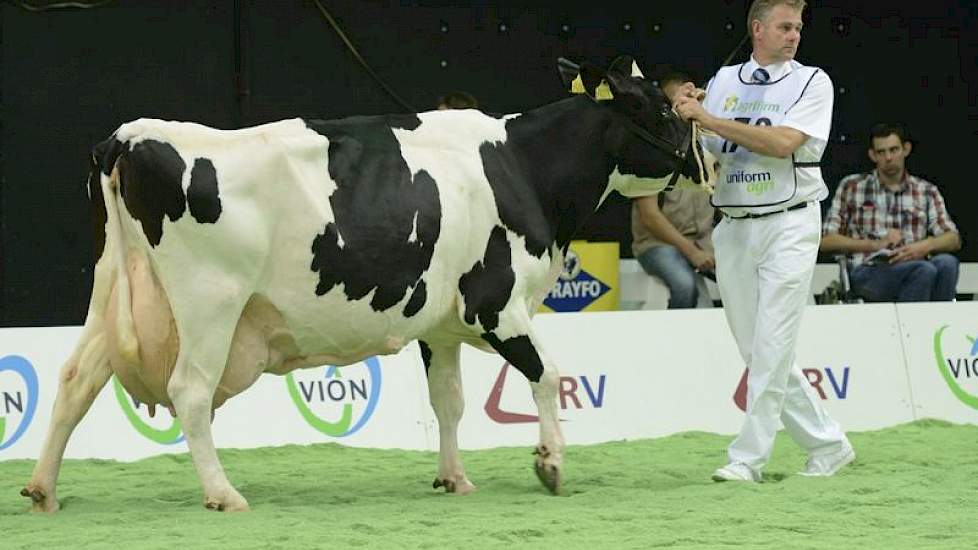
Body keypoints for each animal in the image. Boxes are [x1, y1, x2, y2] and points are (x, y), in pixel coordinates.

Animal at [21, 56, 700, 512]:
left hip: (114, 288)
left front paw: (454, 478)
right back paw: (223, 493)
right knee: (189, 390)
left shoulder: (442, 325)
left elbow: (448, 401)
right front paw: (552, 464)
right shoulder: (496, 306)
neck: (523, 169)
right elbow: (549, 374)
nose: (701, 163)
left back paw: (42, 489)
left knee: (76, 379)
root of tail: (130, 135)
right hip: (210, 300)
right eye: (665, 109)